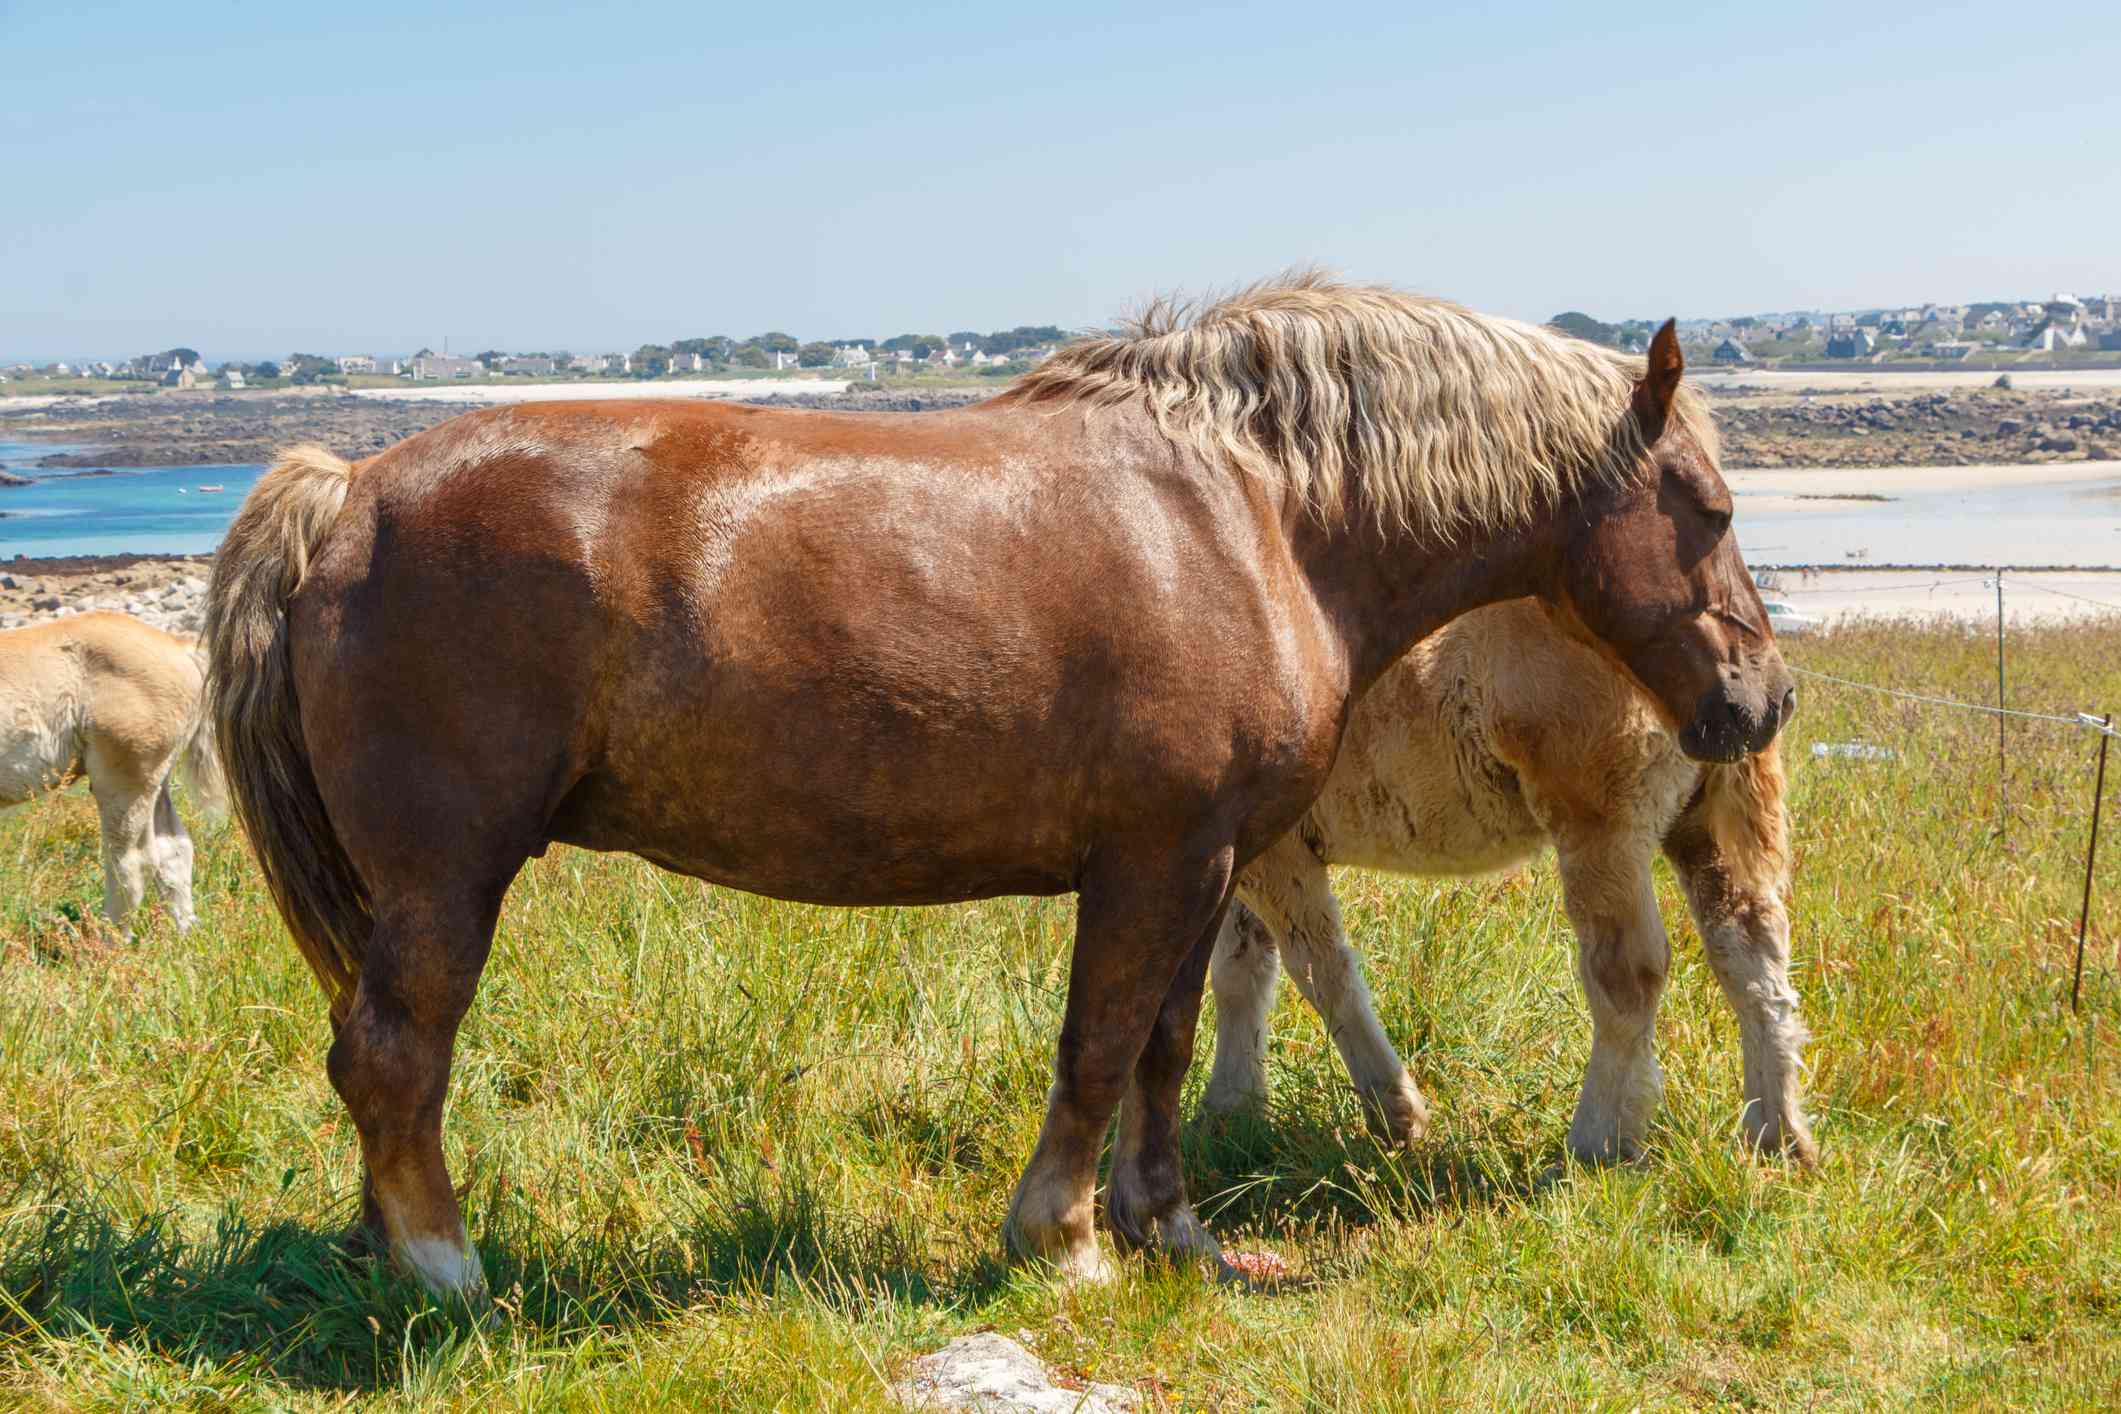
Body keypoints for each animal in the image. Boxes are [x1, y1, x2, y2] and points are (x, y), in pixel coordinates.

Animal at [0, 614, 226, 932]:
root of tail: (179, 647)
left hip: (125, 780)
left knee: (133, 863)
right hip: (156, 780)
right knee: (174, 851)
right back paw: (186, 936)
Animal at [1204, 602, 1815, 1170]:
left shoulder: (1275, 854)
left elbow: (1320, 973)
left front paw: (1395, 1113)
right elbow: (1241, 970)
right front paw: (1232, 1111)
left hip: (1601, 818)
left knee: (1628, 974)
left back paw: (1596, 1143)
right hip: (1701, 819)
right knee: (1750, 953)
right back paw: (1777, 1136)